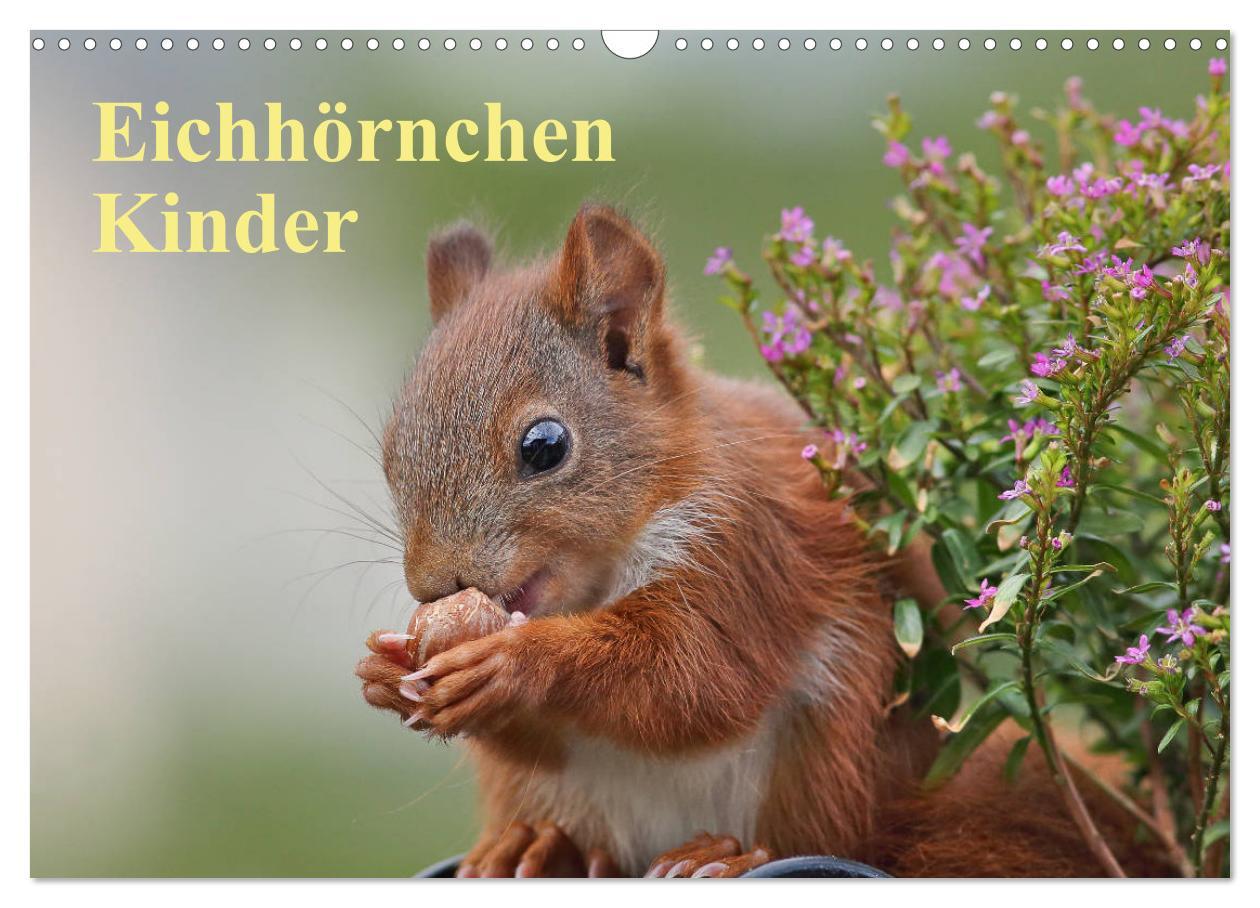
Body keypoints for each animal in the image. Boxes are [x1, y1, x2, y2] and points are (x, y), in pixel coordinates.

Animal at [356, 204, 1166, 878]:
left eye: (545, 446)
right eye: (391, 452)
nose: (434, 586)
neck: (603, 571)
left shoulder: (745, 548)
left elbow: (694, 679)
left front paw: (518, 660)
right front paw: (382, 675)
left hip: (829, 751)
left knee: (821, 836)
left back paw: (729, 856)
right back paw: (541, 844)